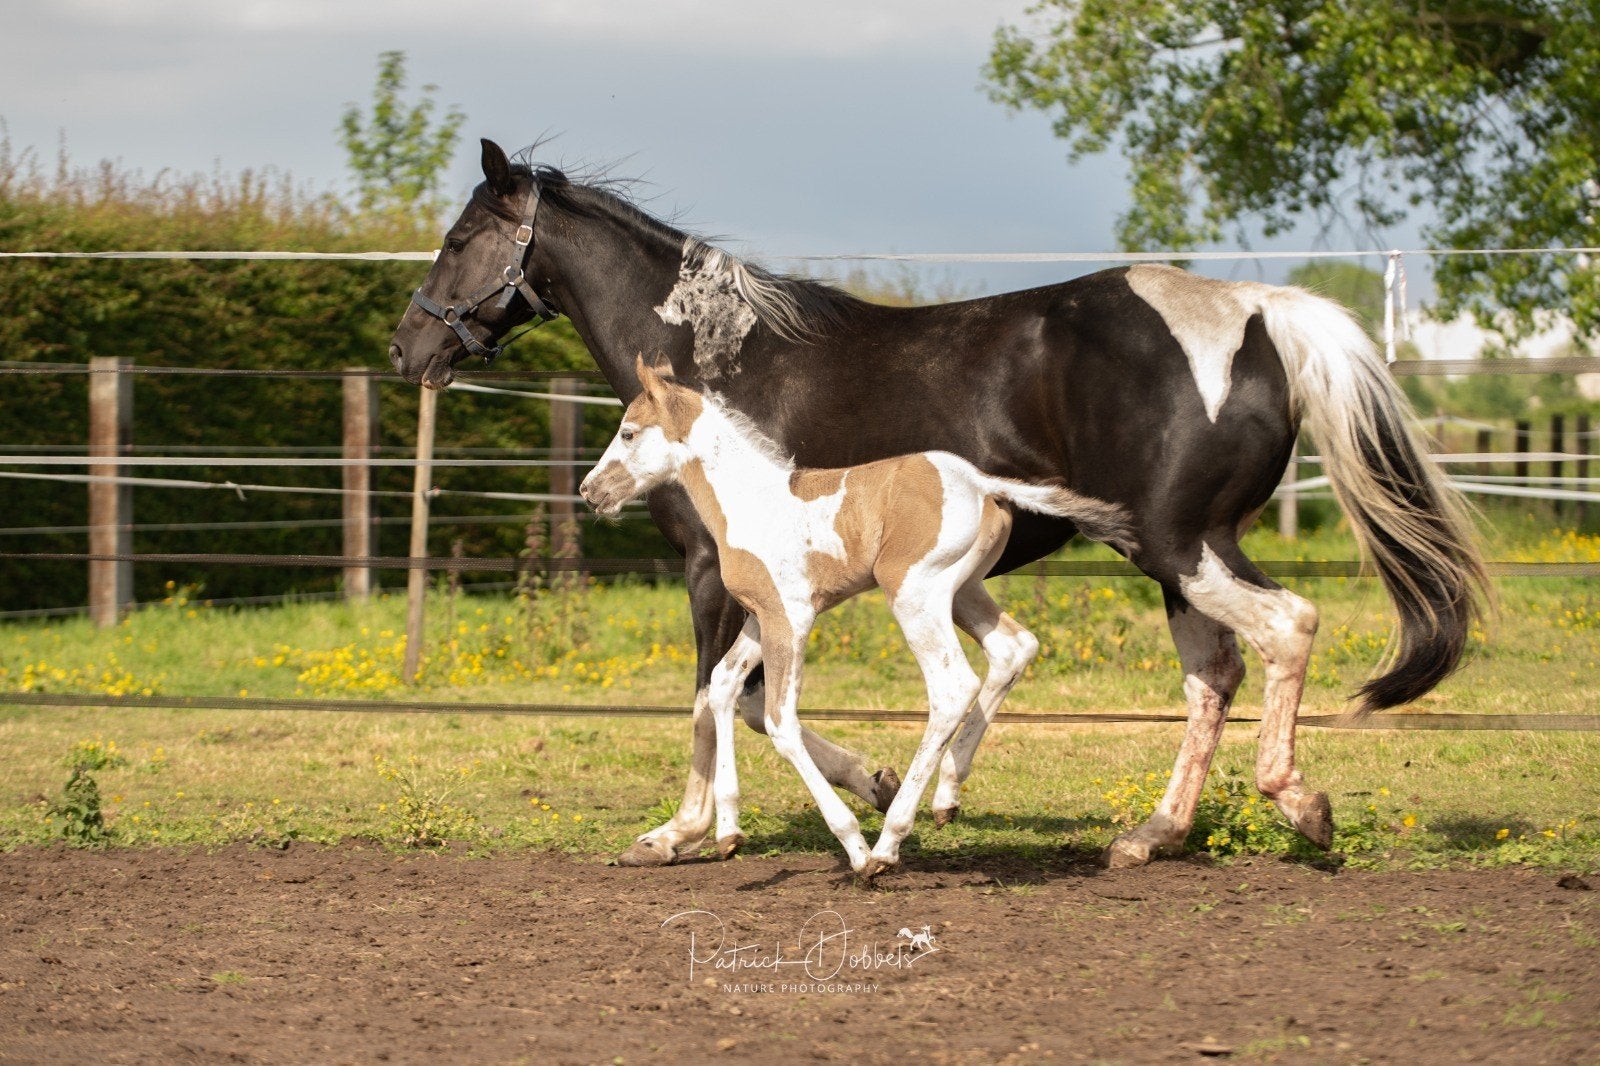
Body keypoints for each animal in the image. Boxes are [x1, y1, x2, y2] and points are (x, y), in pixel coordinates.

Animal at [579, 357, 1137, 876]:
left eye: (628, 432)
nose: (590, 490)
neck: (752, 502)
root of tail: (978, 481)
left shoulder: (790, 618)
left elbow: (780, 720)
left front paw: (854, 847)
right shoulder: (762, 616)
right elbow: (722, 686)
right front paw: (727, 832)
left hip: (914, 594)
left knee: (952, 687)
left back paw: (888, 845)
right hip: (964, 590)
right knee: (1013, 648)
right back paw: (946, 797)